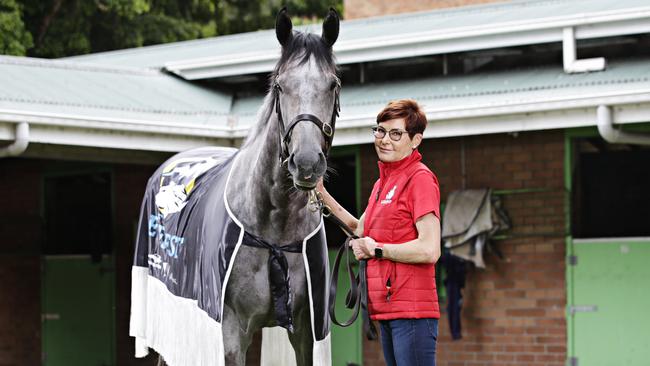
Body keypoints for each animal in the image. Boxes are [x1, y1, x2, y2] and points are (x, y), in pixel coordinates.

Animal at [127, 8, 340, 366]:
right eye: (280, 85)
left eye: (334, 84)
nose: (307, 163)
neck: (274, 228)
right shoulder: (229, 333)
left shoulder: (306, 332)